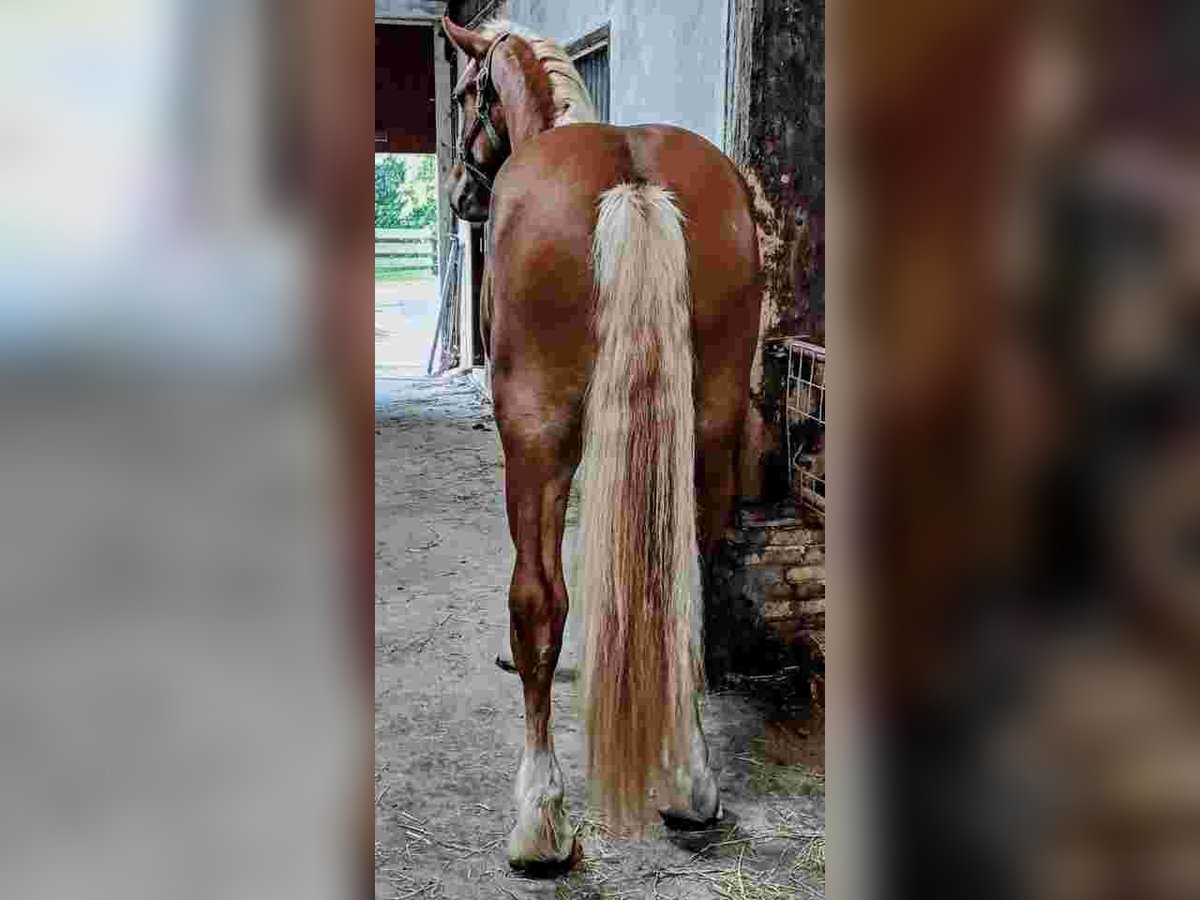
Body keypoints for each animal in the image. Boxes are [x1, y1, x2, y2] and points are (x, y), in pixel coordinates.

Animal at [441, 15, 758, 873]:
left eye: (464, 94)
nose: (459, 194)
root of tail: (634, 183)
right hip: (709, 427)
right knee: (687, 585)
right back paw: (690, 784)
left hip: (536, 435)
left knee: (538, 601)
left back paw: (539, 822)